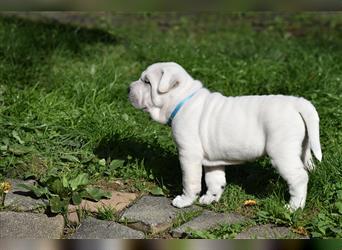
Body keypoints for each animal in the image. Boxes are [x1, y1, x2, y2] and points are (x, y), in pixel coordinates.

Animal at [127, 61, 320, 210]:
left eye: (147, 82)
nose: (128, 88)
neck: (183, 100)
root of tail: (296, 103)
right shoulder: (213, 161)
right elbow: (214, 179)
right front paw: (210, 198)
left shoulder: (188, 155)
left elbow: (190, 181)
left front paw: (185, 200)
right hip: (302, 148)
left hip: (281, 153)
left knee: (299, 178)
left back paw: (294, 207)